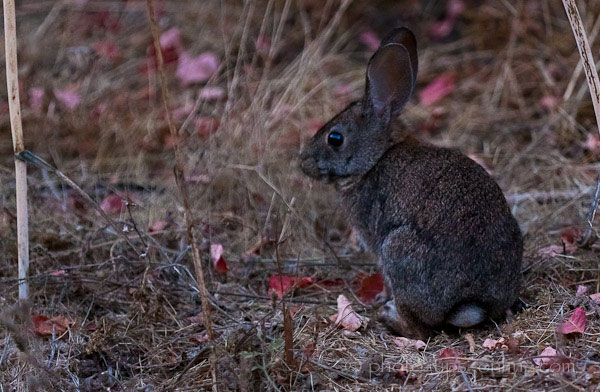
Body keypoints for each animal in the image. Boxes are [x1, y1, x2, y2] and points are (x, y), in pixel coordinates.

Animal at [298, 27, 524, 340]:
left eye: (335, 138)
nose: (303, 162)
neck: (377, 157)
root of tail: (472, 303)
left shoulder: (376, 241)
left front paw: (380, 298)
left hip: (398, 250)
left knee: (421, 328)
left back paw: (389, 317)